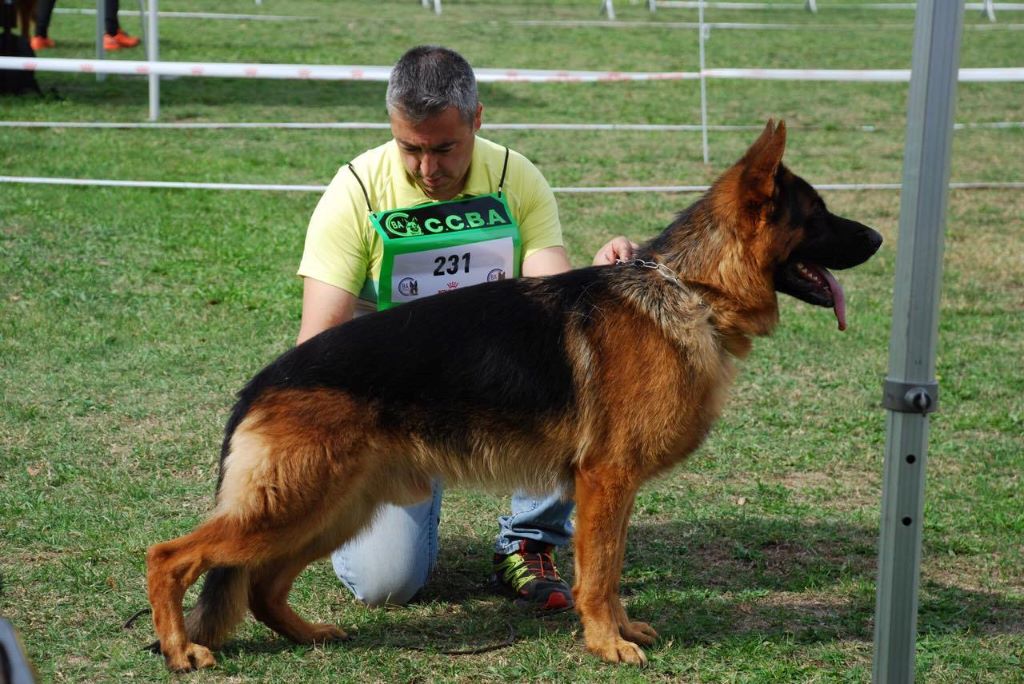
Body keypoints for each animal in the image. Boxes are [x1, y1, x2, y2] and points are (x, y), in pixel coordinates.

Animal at [144, 120, 880, 671]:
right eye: (818, 215)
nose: (879, 236)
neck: (691, 289)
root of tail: (261, 382)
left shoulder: (606, 485)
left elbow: (608, 567)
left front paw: (620, 630)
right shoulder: (607, 479)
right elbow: (600, 572)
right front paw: (605, 643)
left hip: (332, 507)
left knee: (263, 586)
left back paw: (308, 636)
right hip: (294, 504)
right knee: (171, 557)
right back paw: (182, 651)